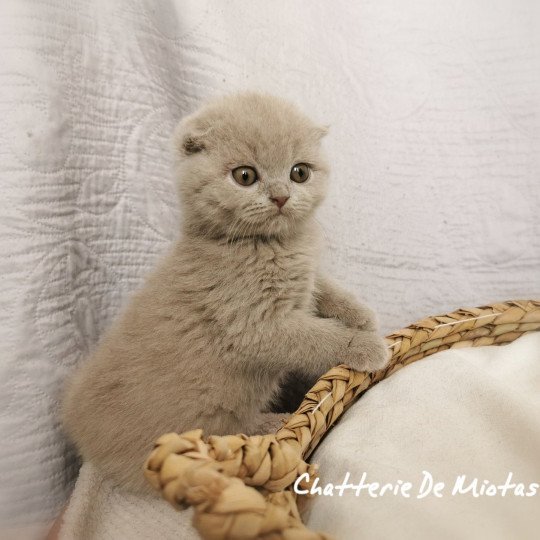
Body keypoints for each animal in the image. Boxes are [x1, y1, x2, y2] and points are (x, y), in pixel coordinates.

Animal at [63, 94, 390, 494]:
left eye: (300, 172)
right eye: (245, 176)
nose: (281, 197)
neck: (270, 244)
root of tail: (79, 429)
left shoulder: (306, 276)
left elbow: (323, 287)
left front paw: (361, 314)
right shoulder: (252, 326)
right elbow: (316, 337)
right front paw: (367, 345)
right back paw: (274, 425)